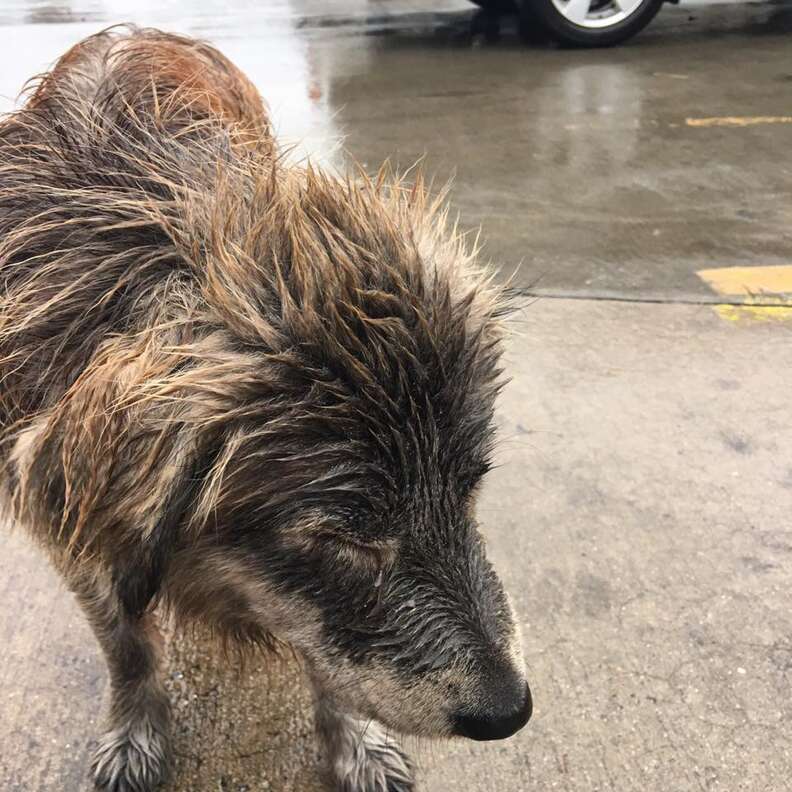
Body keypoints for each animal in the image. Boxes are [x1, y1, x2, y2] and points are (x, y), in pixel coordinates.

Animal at [1, 27, 532, 792]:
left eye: (469, 489)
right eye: (342, 540)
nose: (512, 710)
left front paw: (357, 742)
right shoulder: (71, 529)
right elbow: (126, 646)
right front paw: (134, 734)